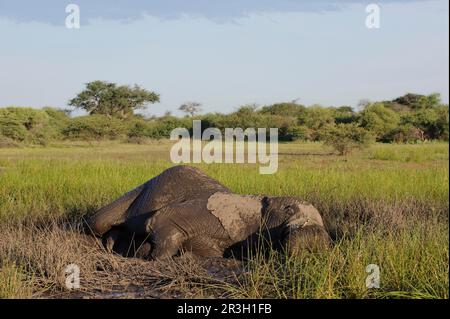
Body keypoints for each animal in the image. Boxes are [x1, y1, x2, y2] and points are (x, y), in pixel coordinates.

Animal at [85, 165, 330, 260]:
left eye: (321, 221)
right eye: (288, 210)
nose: (314, 235)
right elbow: (158, 220)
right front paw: (157, 258)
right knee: (96, 223)